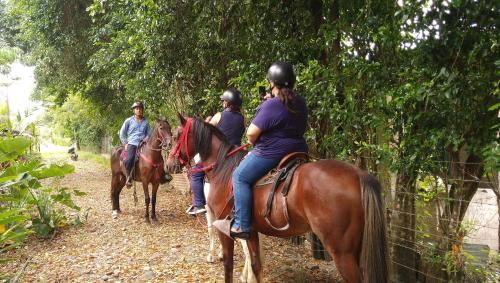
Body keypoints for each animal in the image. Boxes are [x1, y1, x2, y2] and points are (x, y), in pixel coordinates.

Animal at [166, 115, 388, 283]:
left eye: (177, 135)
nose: (169, 164)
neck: (223, 169)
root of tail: (359, 175)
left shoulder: (223, 227)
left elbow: (228, 264)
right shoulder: (251, 231)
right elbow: (256, 265)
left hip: (342, 252)